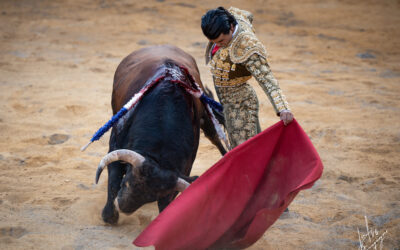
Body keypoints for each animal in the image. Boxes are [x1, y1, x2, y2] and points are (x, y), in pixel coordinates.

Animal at [93, 45, 225, 225]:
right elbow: (113, 180)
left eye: (150, 198)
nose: (123, 207)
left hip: (206, 117)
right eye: (127, 183)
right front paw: (109, 215)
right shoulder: (115, 143)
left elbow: (167, 201)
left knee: (216, 138)